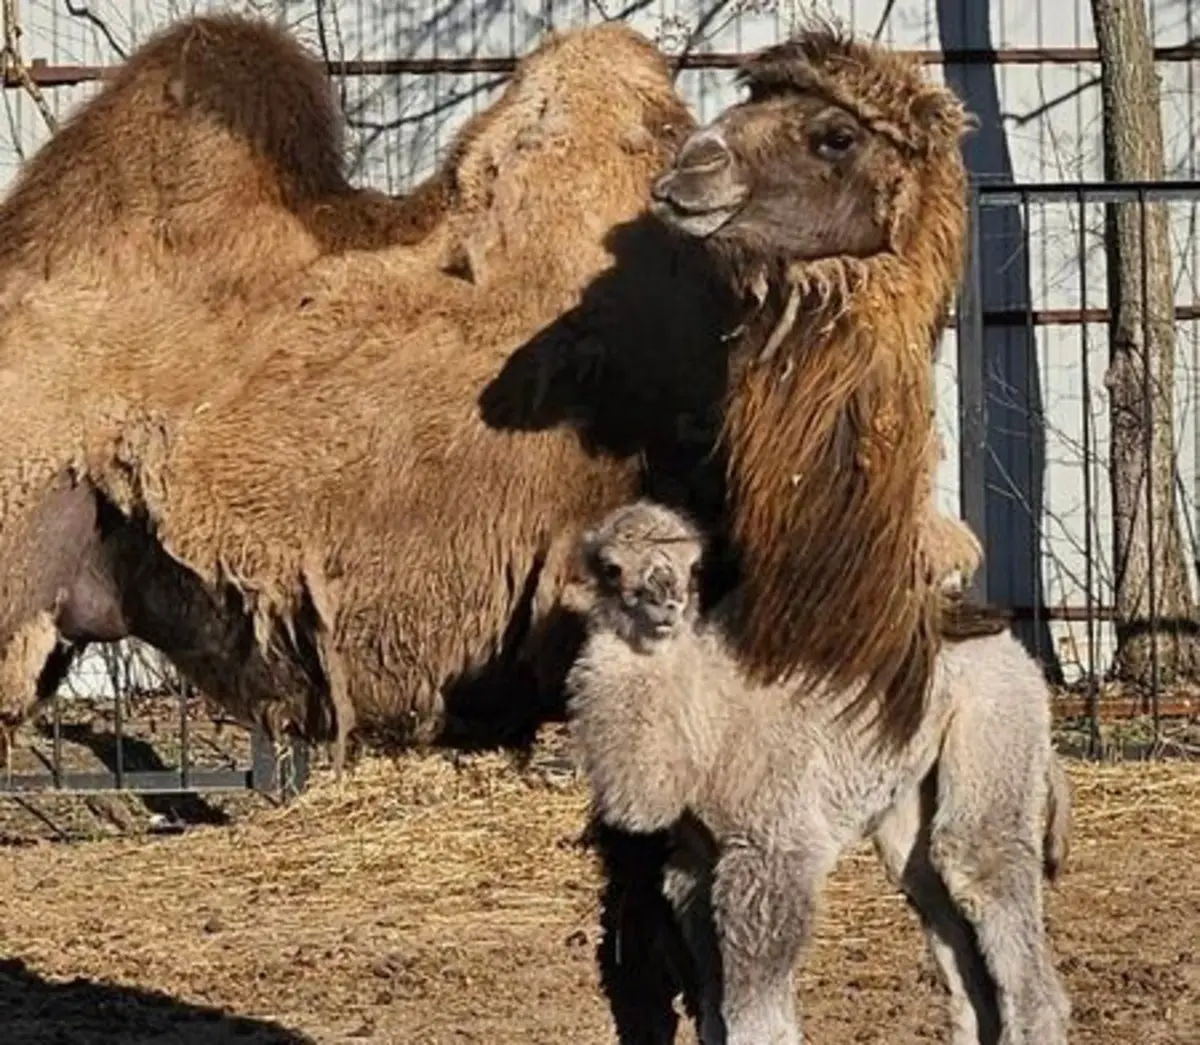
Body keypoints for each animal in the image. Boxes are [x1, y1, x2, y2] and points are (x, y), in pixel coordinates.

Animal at [566, 501, 1075, 1045]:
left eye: (694, 567)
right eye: (612, 568)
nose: (666, 601)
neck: (708, 726)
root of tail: (1016, 653)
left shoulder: (773, 847)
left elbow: (759, 1019)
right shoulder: (696, 863)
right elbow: (716, 1008)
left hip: (994, 722)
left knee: (980, 862)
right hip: (912, 794)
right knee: (935, 899)